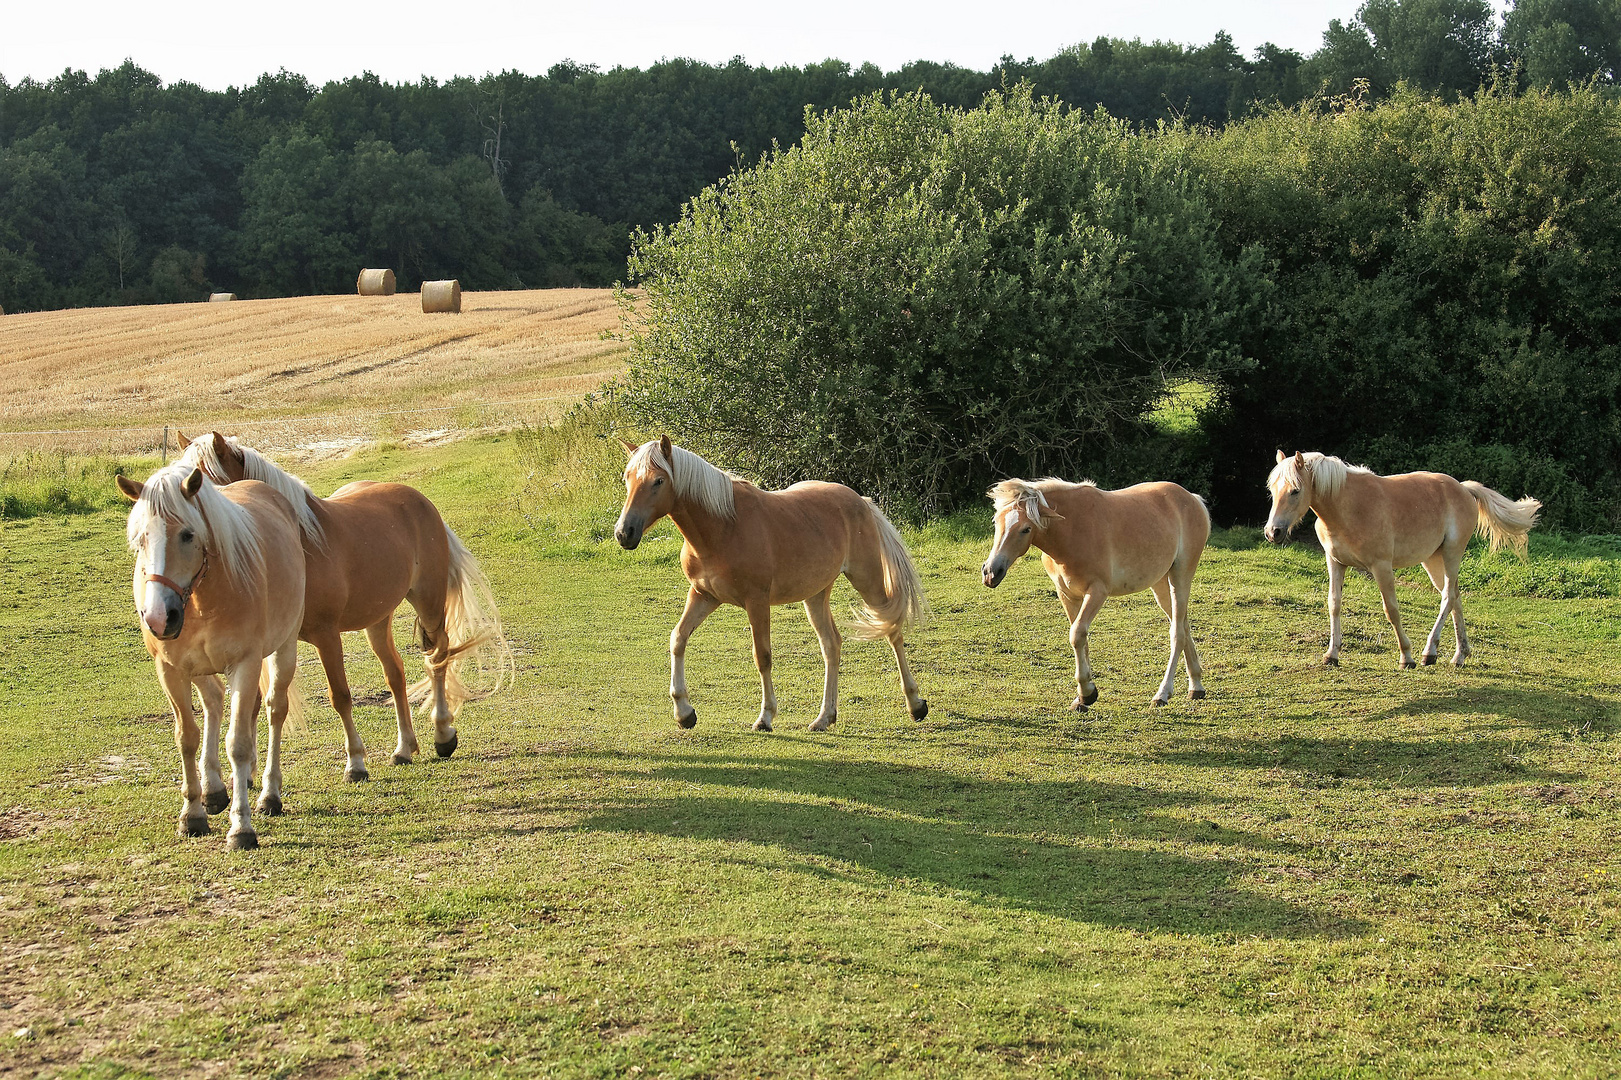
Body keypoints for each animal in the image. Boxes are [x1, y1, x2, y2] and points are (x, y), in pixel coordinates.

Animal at [120, 457, 306, 843]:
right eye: (141, 538)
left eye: (187, 534)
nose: (158, 618)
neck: (203, 599)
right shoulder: (170, 670)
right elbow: (187, 737)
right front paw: (192, 813)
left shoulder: (245, 664)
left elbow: (237, 743)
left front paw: (241, 828)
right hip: (202, 669)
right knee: (216, 702)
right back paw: (216, 788)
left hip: (283, 649)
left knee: (273, 710)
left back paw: (268, 793)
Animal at [176, 428, 508, 775]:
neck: (300, 543)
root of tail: (418, 500)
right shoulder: (261, 645)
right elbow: (253, 703)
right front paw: (250, 773)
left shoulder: (326, 636)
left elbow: (340, 696)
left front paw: (356, 763)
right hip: (378, 618)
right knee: (395, 674)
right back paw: (404, 748)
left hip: (428, 602)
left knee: (438, 659)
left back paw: (443, 734)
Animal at [612, 434, 933, 726]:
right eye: (627, 478)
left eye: (658, 481)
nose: (624, 532)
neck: (723, 526)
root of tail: (861, 501)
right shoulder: (703, 595)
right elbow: (678, 639)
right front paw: (684, 712)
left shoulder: (756, 601)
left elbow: (762, 656)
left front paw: (765, 716)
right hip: (816, 594)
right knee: (831, 644)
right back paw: (824, 717)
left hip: (868, 579)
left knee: (893, 631)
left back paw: (916, 704)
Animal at [979, 476, 1212, 710]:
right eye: (996, 522)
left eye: (1026, 529)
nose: (991, 572)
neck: (1071, 530)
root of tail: (1193, 499)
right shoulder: (1067, 595)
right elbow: (1081, 639)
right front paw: (1083, 697)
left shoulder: (1097, 592)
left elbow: (1077, 634)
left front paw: (1086, 692)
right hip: (1161, 584)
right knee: (1183, 625)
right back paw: (1196, 686)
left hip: (1180, 577)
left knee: (1177, 633)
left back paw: (1162, 693)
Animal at [1257, 444, 1536, 664]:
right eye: (1272, 490)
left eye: (1295, 490)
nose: (1273, 532)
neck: (1349, 507)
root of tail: (1464, 489)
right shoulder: (1335, 562)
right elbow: (1334, 604)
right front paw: (1332, 654)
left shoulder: (1381, 567)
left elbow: (1391, 609)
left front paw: (1406, 655)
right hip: (1432, 560)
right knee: (1455, 596)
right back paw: (1459, 655)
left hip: (1452, 554)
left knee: (1447, 596)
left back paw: (1428, 652)